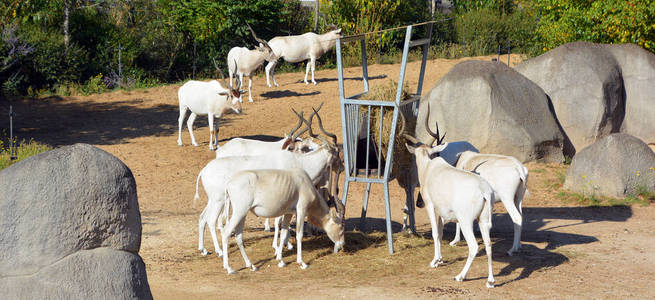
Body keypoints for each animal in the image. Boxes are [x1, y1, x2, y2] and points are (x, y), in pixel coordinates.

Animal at [408, 120, 494, 288]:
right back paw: (490, 281)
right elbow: (440, 233)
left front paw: (434, 261)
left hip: (466, 221)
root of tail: (483, 191)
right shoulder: (441, 211)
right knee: (488, 245)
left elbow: (435, 233)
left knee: (474, 246)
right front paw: (440, 260)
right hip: (483, 220)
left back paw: (460, 276)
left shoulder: (430, 206)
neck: (429, 168)